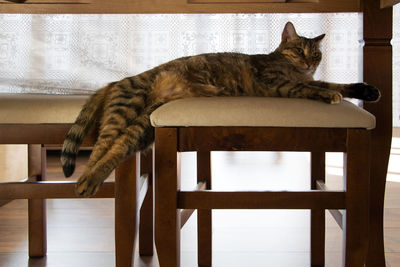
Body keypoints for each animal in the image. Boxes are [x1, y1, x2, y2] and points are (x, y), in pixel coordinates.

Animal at [61, 21, 380, 197]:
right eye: (299, 50)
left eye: (316, 54)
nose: (309, 62)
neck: (295, 69)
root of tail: (116, 81)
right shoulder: (279, 85)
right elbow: (316, 89)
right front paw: (328, 94)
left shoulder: (307, 79)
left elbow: (338, 83)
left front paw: (365, 90)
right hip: (130, 107)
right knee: (102, 147)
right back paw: (87, 180)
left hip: (143, 125)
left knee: (113, 147)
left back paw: (90, 179)